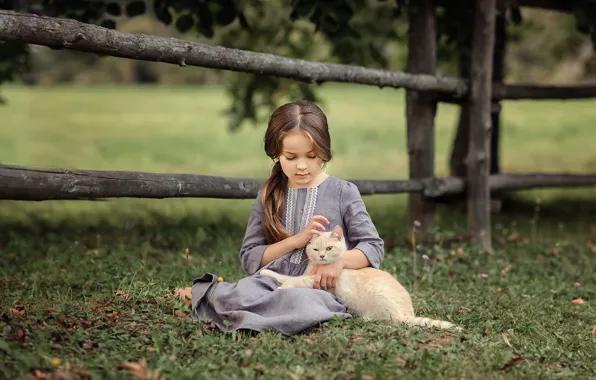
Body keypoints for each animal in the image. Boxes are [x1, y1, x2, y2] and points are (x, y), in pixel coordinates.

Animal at [260, 227, 460, 332]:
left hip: (379, 297)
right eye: (316, 249)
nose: (322, 256)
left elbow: (295, 281)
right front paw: (267, 273)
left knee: (390, 320)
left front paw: (282, 288)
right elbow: (284, 276)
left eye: (329, 248)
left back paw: (363, 318)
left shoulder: (317, 281)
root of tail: (408, 312)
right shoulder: (306, 275)